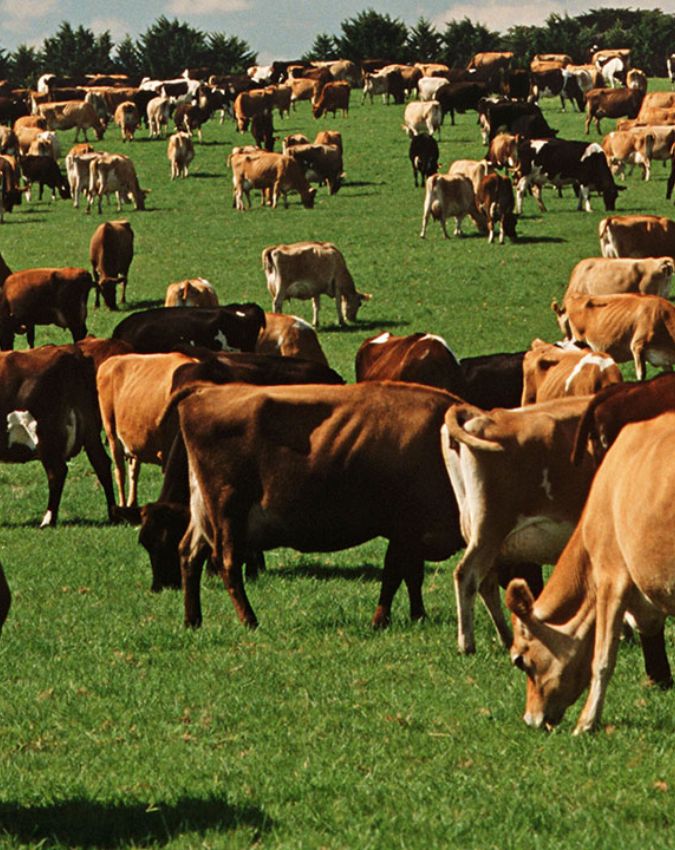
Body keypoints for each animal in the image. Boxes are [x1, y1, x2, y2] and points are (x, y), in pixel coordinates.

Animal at [0, 345, 117, 526]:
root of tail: (70, 352)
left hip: (45, 434)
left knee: (57, 472)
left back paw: (48, 520)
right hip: (90, 429)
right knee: (102, 463)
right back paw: (113, 514)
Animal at [166, 380, 465, 629]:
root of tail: (205, 390)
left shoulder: (413, 533)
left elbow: (412, 575)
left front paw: (419, 616)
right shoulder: (405, 528)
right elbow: (393, 574)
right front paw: (381, 621)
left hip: (205, 513)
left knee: (189, 554)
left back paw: (192, 620)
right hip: (228, 510)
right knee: (227, 562)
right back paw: (249, 620)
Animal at [442, 395, 597, 653]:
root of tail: (485, 415)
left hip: (481, 532)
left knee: (486, 583)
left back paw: (505, 637)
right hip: (490, 526)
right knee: (467, 575)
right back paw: (467, 643)